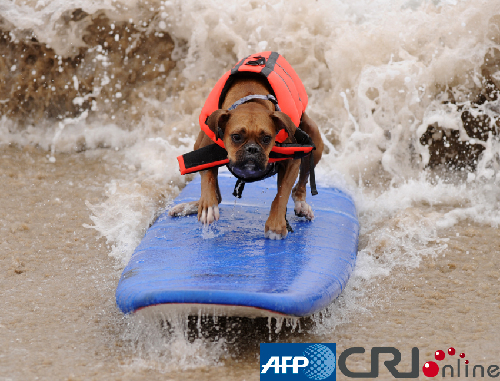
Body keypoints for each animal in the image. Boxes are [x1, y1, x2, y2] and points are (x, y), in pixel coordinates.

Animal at [168, 75, 324, 238]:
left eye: (267, 138)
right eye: (236, 137)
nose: (252, 149)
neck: (251, 99)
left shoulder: (292, 163)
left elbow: (281, 195)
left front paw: (275, 225)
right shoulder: (203, 153)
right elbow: (208, 177)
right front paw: (207, 207)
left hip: (314, 139)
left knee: (301, 181)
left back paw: (302, 205)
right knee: (217, 195)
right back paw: (191, 206)